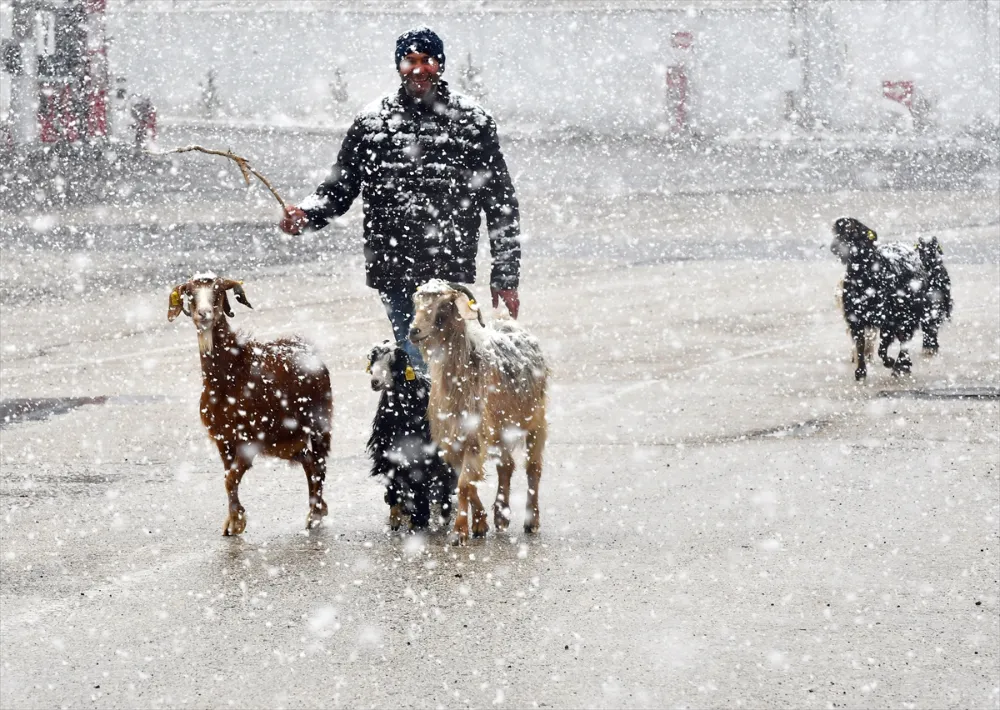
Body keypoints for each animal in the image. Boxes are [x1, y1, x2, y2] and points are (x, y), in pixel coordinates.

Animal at [165, 276, 332, 536]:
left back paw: (315, 515)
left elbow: (231, 478)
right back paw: (317, 509)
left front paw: (237, 521)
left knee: (319, 463)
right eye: (189, 293)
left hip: (318, 423)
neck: (231, 375)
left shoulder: (249, 439)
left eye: (218, 292)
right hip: (286, 437)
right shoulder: (223, 439)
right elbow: (228, 477)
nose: (203, 314)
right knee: (308, 462)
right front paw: (232, 522)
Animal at [368, 342, 458, 532]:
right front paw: (395, 517)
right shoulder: (388, 450)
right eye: (373, 361)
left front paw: (418, 519)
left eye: (393, 362)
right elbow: (394, 479)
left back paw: (444, 514)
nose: (375, 382)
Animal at [406, 280, 548, 544]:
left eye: (444, 305)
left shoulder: (474, 434)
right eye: (417, 302)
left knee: (533, 468)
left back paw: (531, 521)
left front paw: (460, 532)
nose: (414, 331)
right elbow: (466, 482)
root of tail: (509, 323)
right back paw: (501, 516)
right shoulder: (453, 439)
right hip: (500, 427)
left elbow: (464, 483)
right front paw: (480, 523)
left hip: (536, 419)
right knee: (506, 466)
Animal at [828, 220, 952, 382]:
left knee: (908, 338)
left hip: (910, 314)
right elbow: (860, 344)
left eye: (853, 232)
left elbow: (882, 347)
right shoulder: (856, 318)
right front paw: (860, 372)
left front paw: (891, 363)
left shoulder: (889, 319)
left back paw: (903, 364)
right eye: (836, 233)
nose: (834, 247)